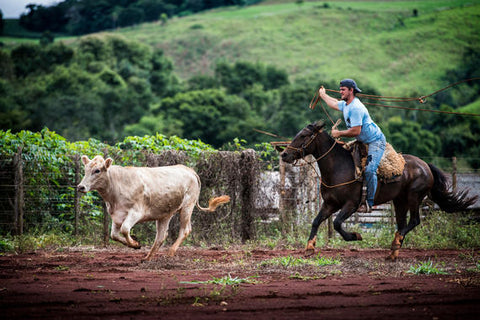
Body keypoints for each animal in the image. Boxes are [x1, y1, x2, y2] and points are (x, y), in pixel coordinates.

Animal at [280, 120, 478, 260]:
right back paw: (393, 251)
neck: (339, 167)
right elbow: (316, 221)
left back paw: (395, 245)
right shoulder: (330, 204)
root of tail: (425, 165)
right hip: (399, 201)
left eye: (303, 135)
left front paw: (356, 236)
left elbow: (336, 223)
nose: (284, 154)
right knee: (402, 224)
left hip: (414, 197)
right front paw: (309, 247)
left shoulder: (351, 205)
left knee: (414, 221)